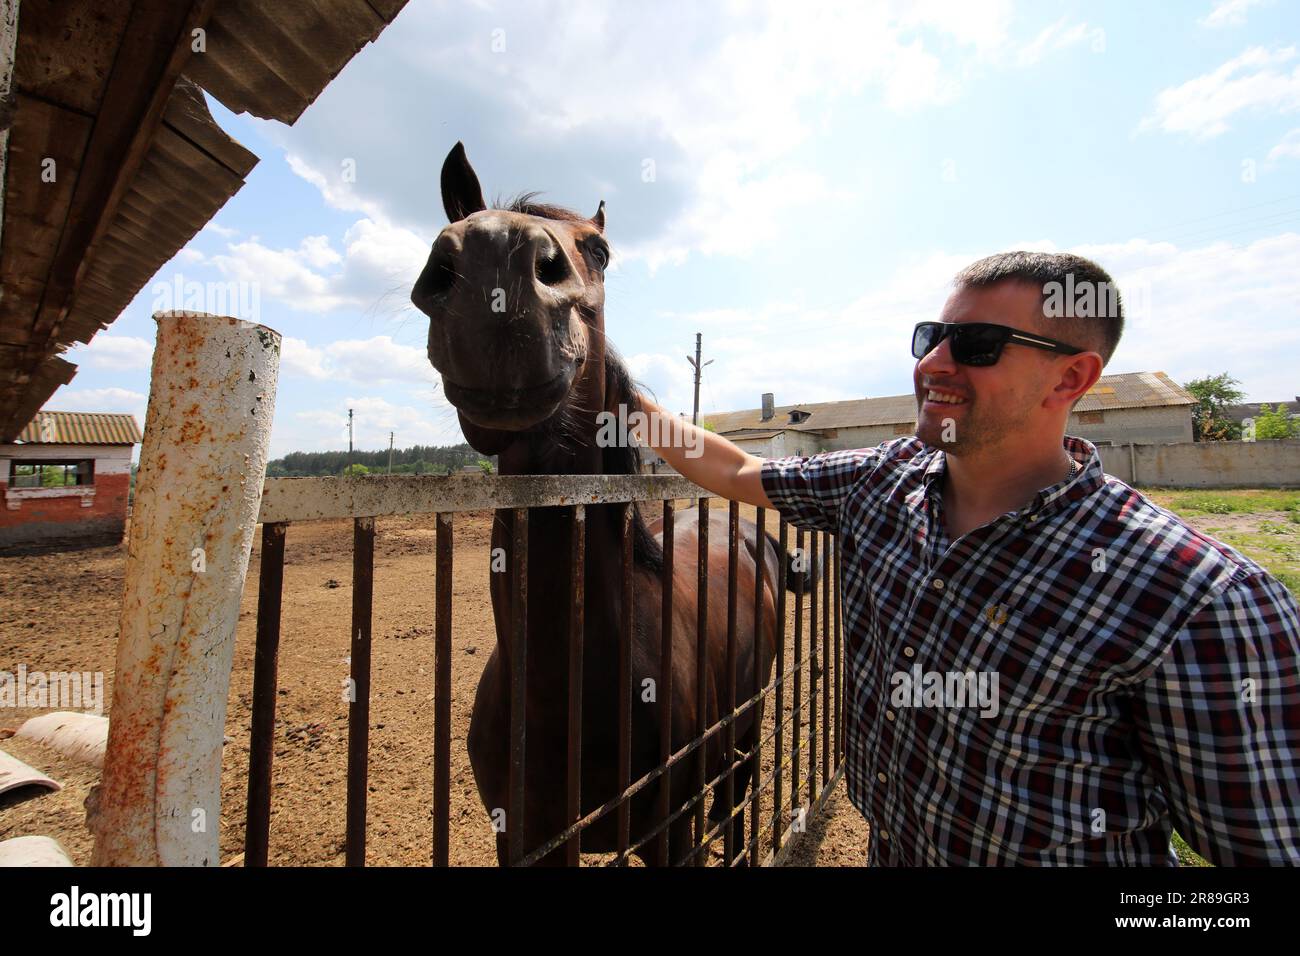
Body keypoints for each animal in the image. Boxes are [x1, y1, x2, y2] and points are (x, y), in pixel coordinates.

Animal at [413, 143, 800, 868]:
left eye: (601, 250)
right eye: (457, 227)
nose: (494, 260)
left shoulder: (670, 833)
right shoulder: (522, 844)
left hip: (747, 728)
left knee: (737, 801)